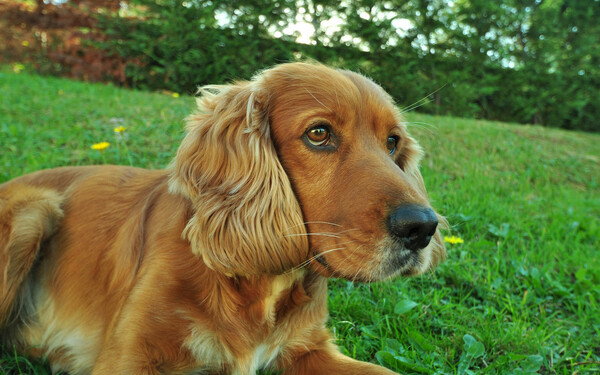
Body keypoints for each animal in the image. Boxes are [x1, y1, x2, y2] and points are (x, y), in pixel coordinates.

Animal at [0, 63, 446, 374]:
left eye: (393, 142)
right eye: (319, 134)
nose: (422, 227)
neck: (259, 285)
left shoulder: (308, 349)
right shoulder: (128, 356)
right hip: (34, 212)